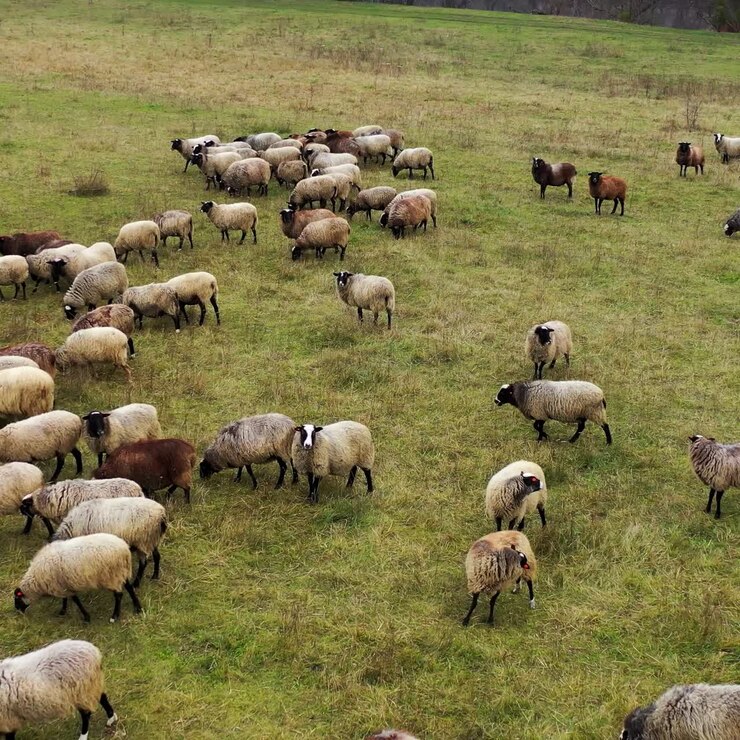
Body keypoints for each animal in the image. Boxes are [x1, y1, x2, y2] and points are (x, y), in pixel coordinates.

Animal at [14, 533, 142, 623]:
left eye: (17, 599)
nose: (18, 612)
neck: (37, 581)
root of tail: (125, 549)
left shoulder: (63, 586)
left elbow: (74, 600)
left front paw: (86, 617)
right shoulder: (63, 585)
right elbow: (66, 599)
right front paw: (63, 611)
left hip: (112, 575)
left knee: (119, 595)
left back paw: (114, 617)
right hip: (121, 572)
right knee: (129, 587)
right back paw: (138, 608)